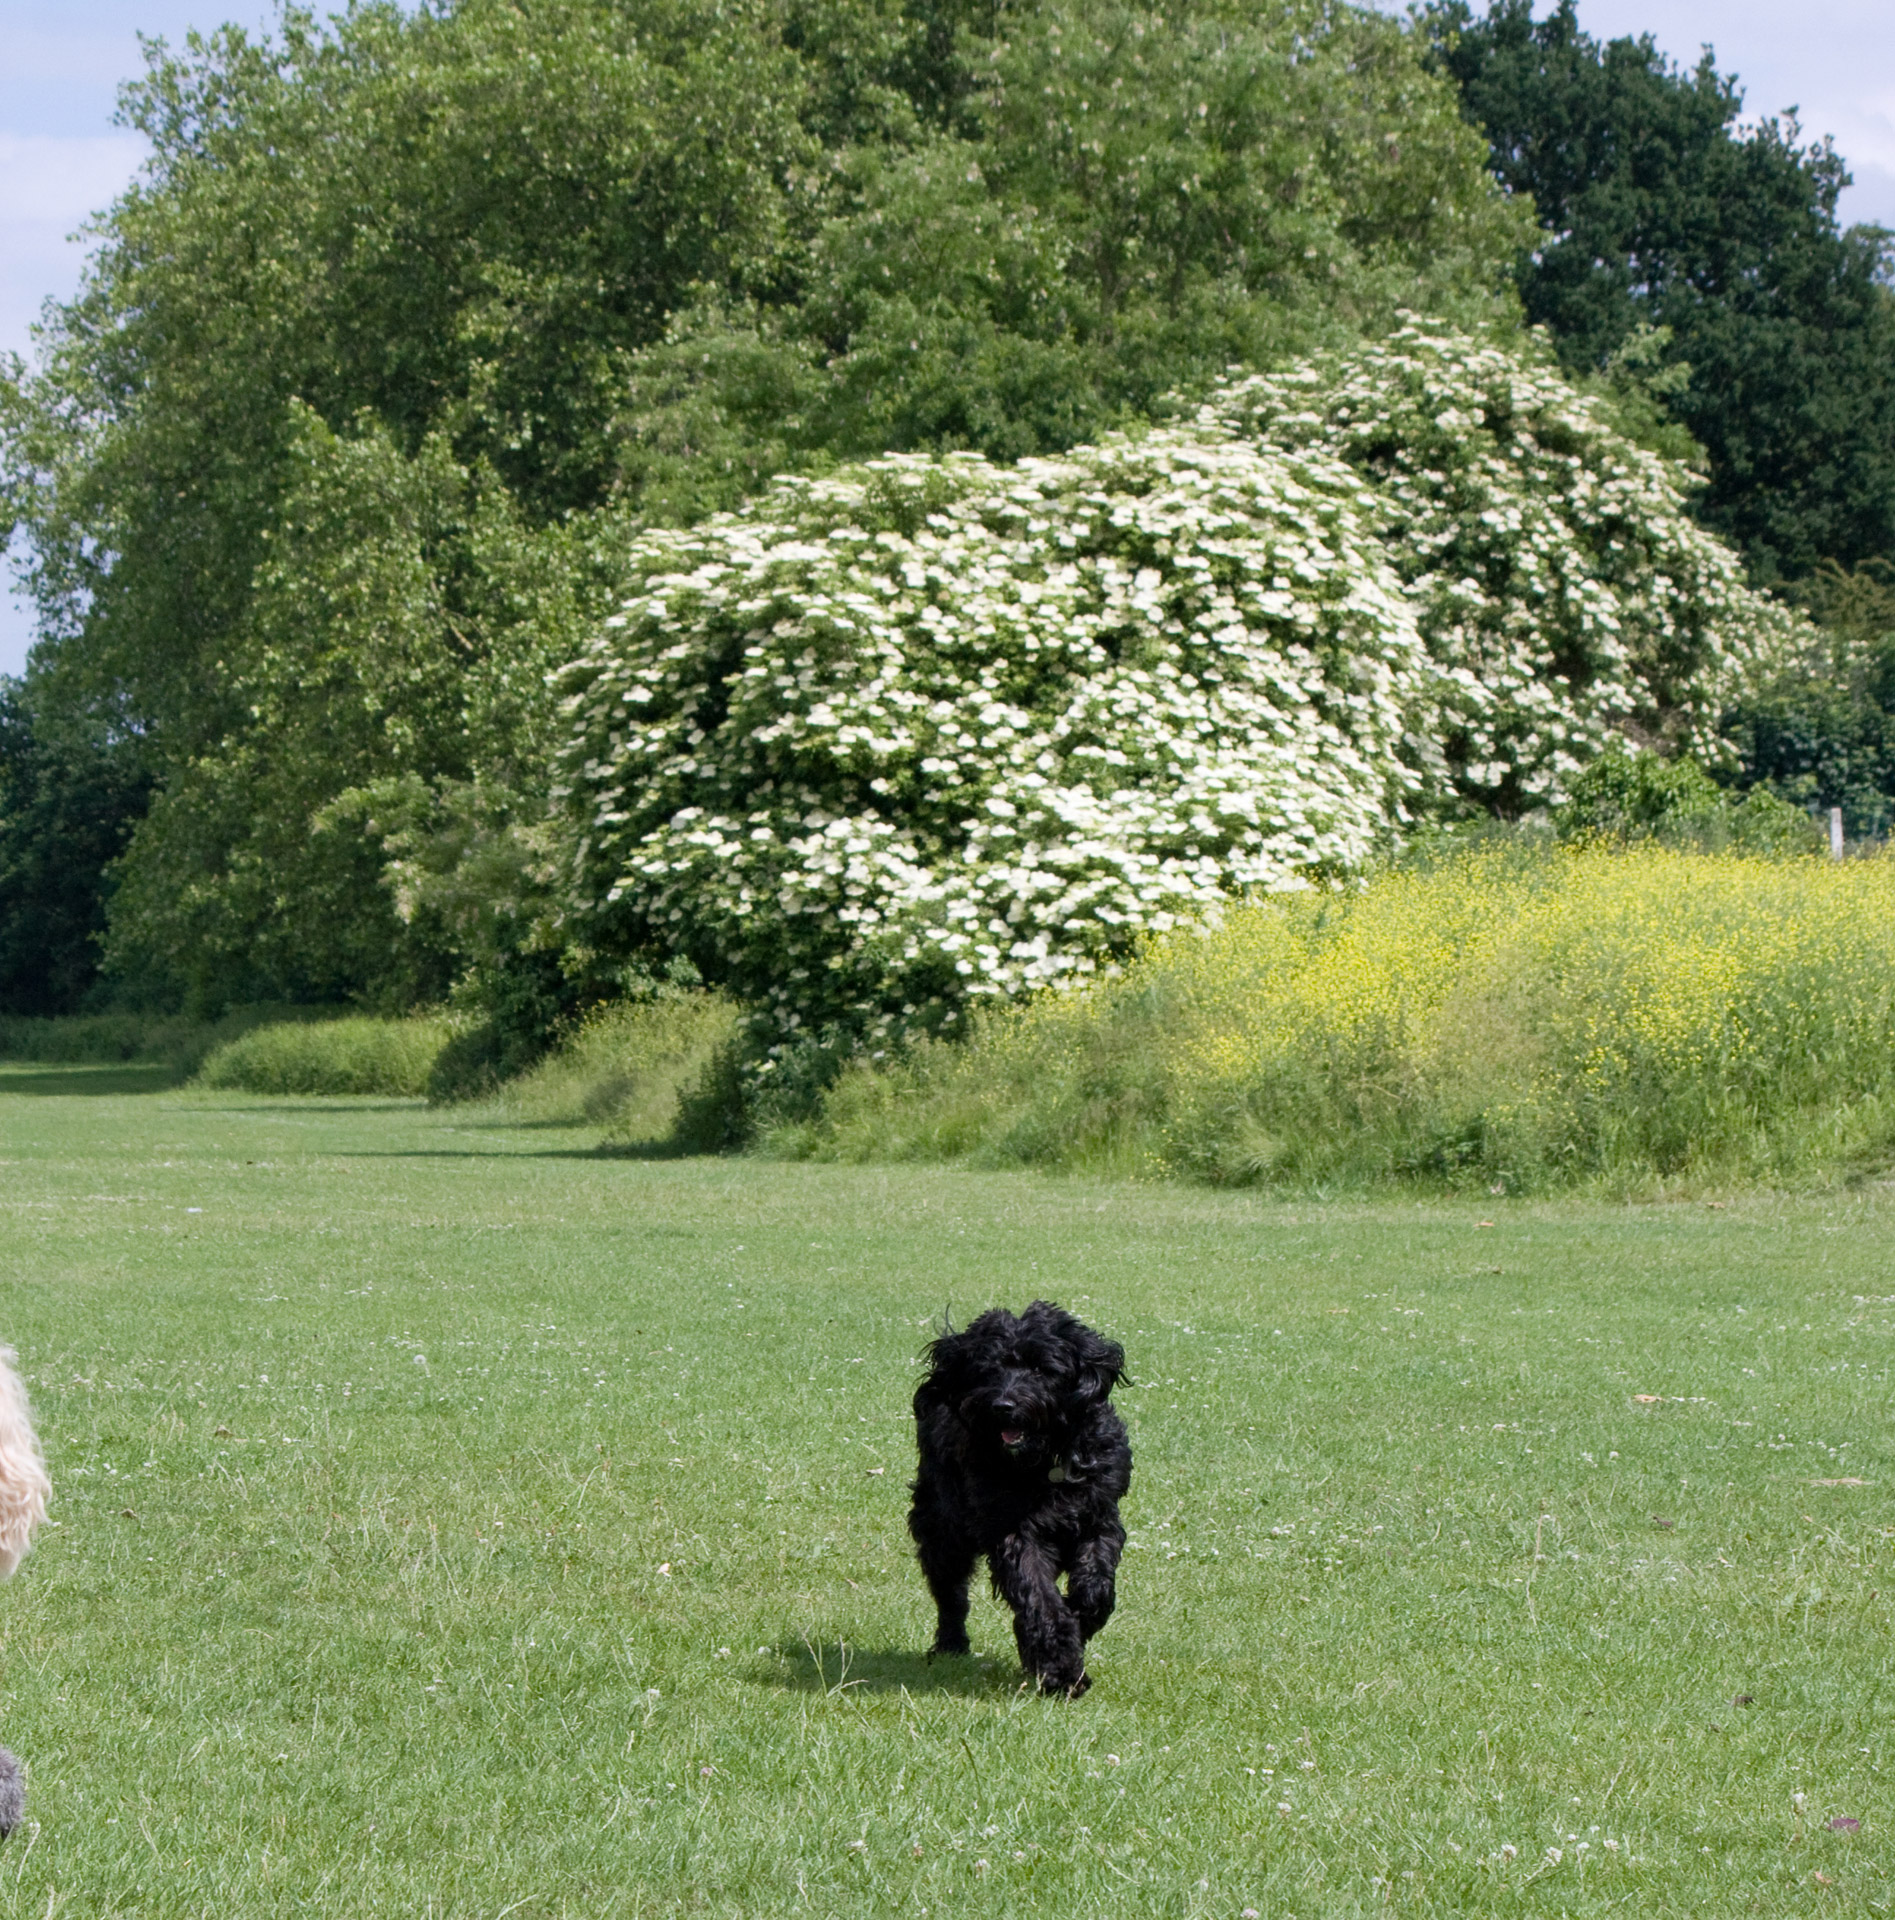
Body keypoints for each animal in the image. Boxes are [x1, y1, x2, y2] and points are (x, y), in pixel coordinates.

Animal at [910, 1305, 1136, 1697]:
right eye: (988, 1369)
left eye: (1041, 1368)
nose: (1004, 1405)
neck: (1047, 1461)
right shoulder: (1015, 1533)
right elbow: (1040, 1601)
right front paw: (1062, 1669)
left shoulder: (1100, 1518)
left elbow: (1096, 1585)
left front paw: (1082, 1619)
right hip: (942, 1526)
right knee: (950, 1593)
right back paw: (951, 1644)